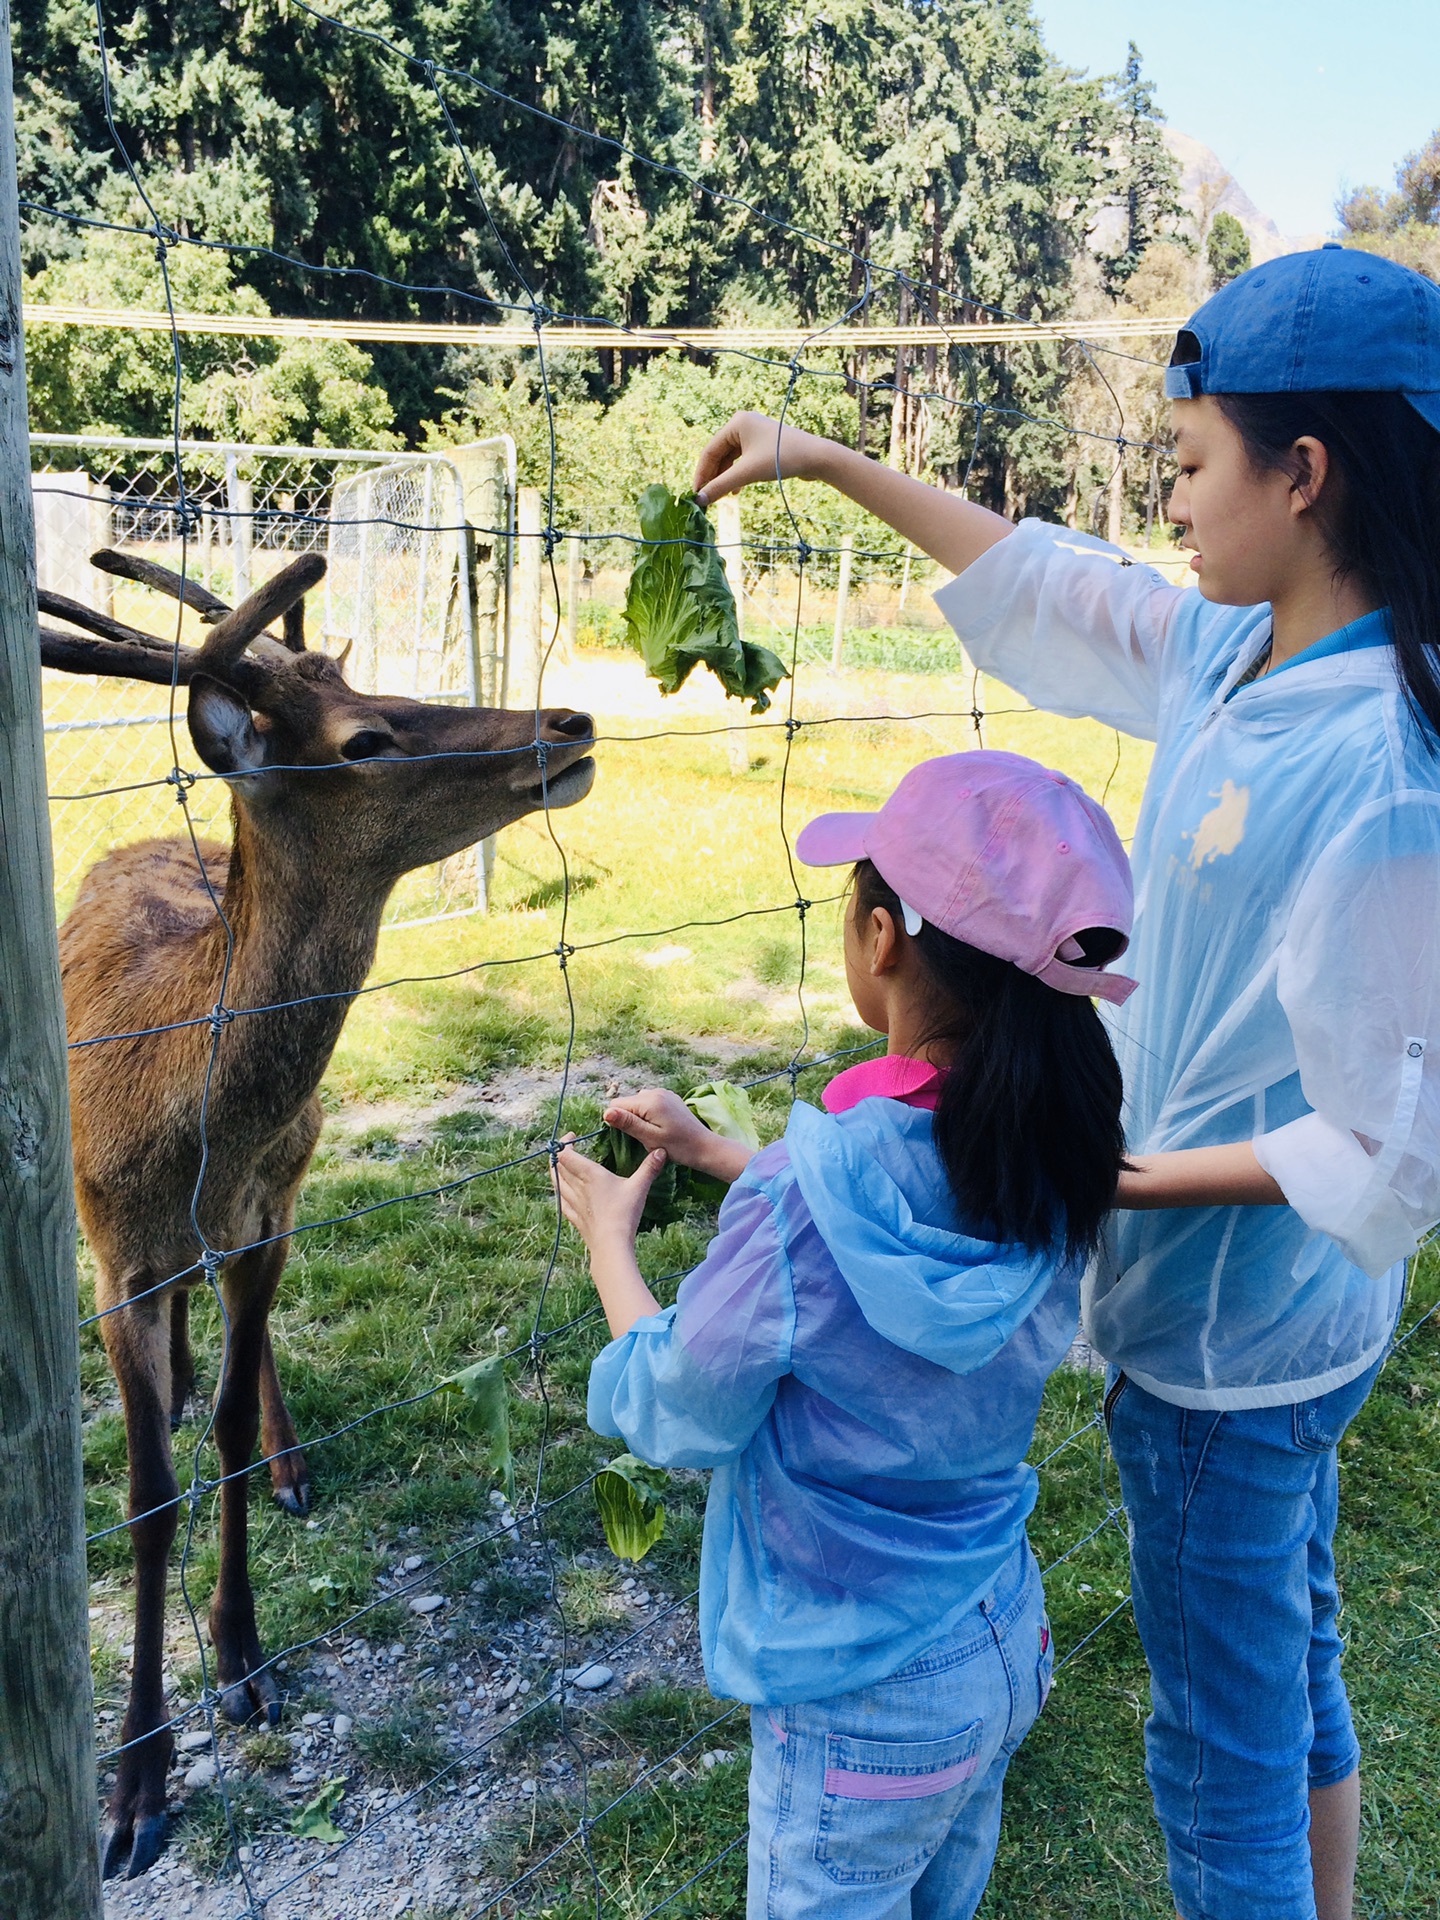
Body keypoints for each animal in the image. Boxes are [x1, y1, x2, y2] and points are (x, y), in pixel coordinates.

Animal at [38, 545, 599, 1873]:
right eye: (364, 739)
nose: (569, 721)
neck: (185, 1136)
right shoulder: (113, 1256)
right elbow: (146, 1501)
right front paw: (135, 1789)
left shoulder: (263, 1220)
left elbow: (233, 1433)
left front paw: (245, 1662)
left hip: (290, 1182)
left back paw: (286, 1453)